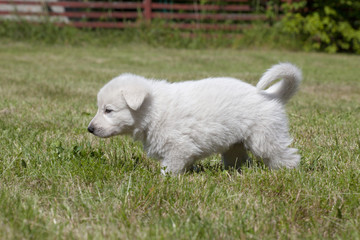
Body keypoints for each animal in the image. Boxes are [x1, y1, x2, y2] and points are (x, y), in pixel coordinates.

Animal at [87, 62, 300, 173]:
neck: (152, 110)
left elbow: (170, 168)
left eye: (108, 110)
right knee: (238, 158)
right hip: (235, 145)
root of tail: (271, 95)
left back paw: (287, 173)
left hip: (265, 137)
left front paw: (164, 180)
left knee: (286, 155)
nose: (90, 129)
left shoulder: (178, 148)